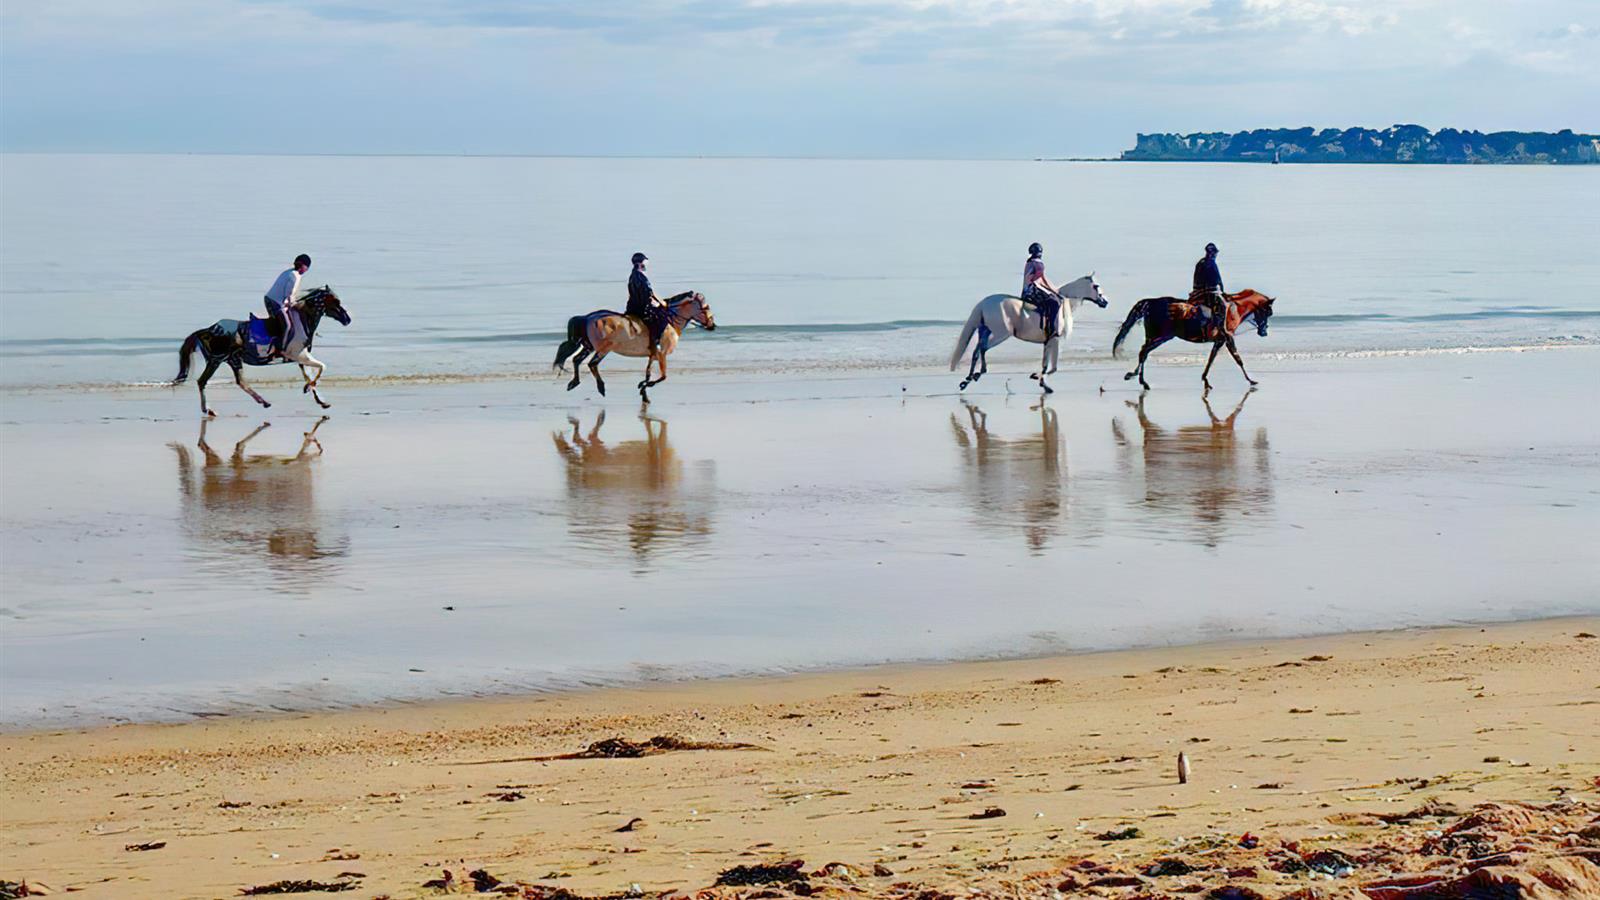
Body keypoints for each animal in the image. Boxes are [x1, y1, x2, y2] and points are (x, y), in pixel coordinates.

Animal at [170, 285, 352, 416]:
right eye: (335, 301)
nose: (347, 319)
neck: (302, 321)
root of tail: (207, 330)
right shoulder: (299, 355)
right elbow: (321, 368)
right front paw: (308, 389)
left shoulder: (302, 358)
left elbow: (311, 374)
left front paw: (320, 400)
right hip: (216, 360)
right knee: (202, 382)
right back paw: (208, 409)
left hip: (233, 360)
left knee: (240, 382)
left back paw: (263, 402)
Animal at [556, 291, 720, 403]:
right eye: (706, 307)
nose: (712, 325)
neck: (669, 321)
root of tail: (588, 317)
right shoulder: (662, 354)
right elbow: (663, 376)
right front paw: (646, 387)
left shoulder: (653, 355)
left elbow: (648, 373)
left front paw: (643, 390)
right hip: (603, 349)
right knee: (592, 364)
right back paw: (600, 387)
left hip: (588, 346)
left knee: (577, 360)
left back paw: (574, 383)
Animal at [1113, 286, 1273, 385]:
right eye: (1267, 312)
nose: (1264, 332)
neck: (1234, 309)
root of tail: (1151, 303)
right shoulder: (1228, 338)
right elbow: (1237, 359)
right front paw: (1251, 380)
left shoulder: (1220, 340)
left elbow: (1211, 358)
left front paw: (1204, 378)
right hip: (1161, 336)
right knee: (1143, 351)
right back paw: (1141, 380)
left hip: (1157, 337)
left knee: (1144, 352)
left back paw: (1137, 378)